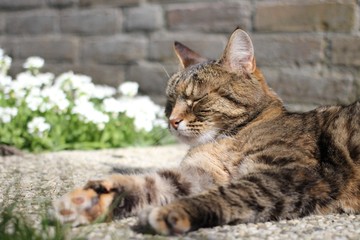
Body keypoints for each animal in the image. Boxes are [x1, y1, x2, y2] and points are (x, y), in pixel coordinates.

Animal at [53, 28, 360, 234]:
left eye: (196, 99)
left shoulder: (290, 174)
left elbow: (230, 194)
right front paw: (93, 198)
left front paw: (172, 211)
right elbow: (154, 183)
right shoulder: (200, 174)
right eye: (169, 102)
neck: (228, 139)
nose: (172, 120)